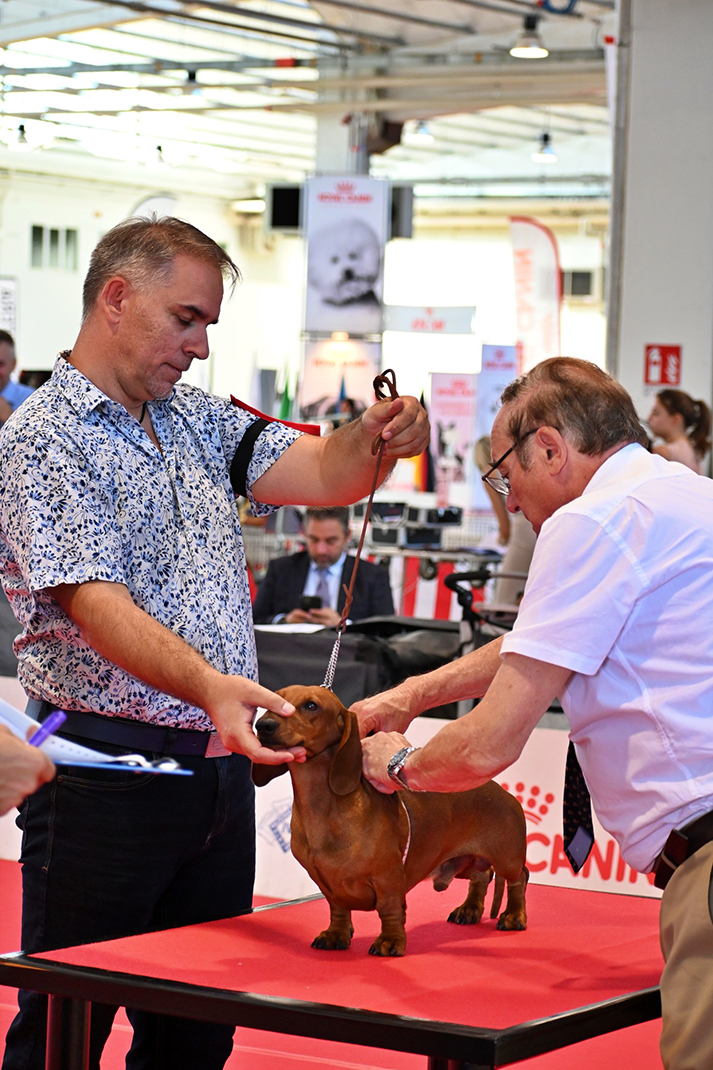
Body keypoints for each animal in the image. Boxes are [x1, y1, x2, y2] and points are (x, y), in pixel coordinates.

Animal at [253, 685, 528, 957]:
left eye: (311, 705)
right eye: (274, 700)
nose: (263, 725)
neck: (323, 808)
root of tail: (503, 792)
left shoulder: (388, 878)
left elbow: (390, 911)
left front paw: (390, 940)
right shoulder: (328, 885)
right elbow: (338, 909)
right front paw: (336, 934)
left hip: (507, 858)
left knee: (519, 877)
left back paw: (514, 915)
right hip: (462, 862)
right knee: (483, 875)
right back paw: (469, 909)